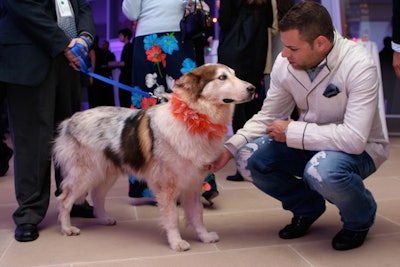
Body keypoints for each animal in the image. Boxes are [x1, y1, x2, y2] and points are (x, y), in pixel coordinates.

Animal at [53, 62, 255, 251]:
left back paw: (103, 219)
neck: (193, 117)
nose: (253, 88)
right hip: (84, 175)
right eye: (222, 77)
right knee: (64, 200)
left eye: (234, 74)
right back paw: (66, 228)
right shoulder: (167, 187)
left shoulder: (193, 184)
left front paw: (204, 236)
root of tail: (70, 120)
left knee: (97, 196)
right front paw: (176, 242)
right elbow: (172, 217)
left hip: (105, 174)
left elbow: (197, 214)